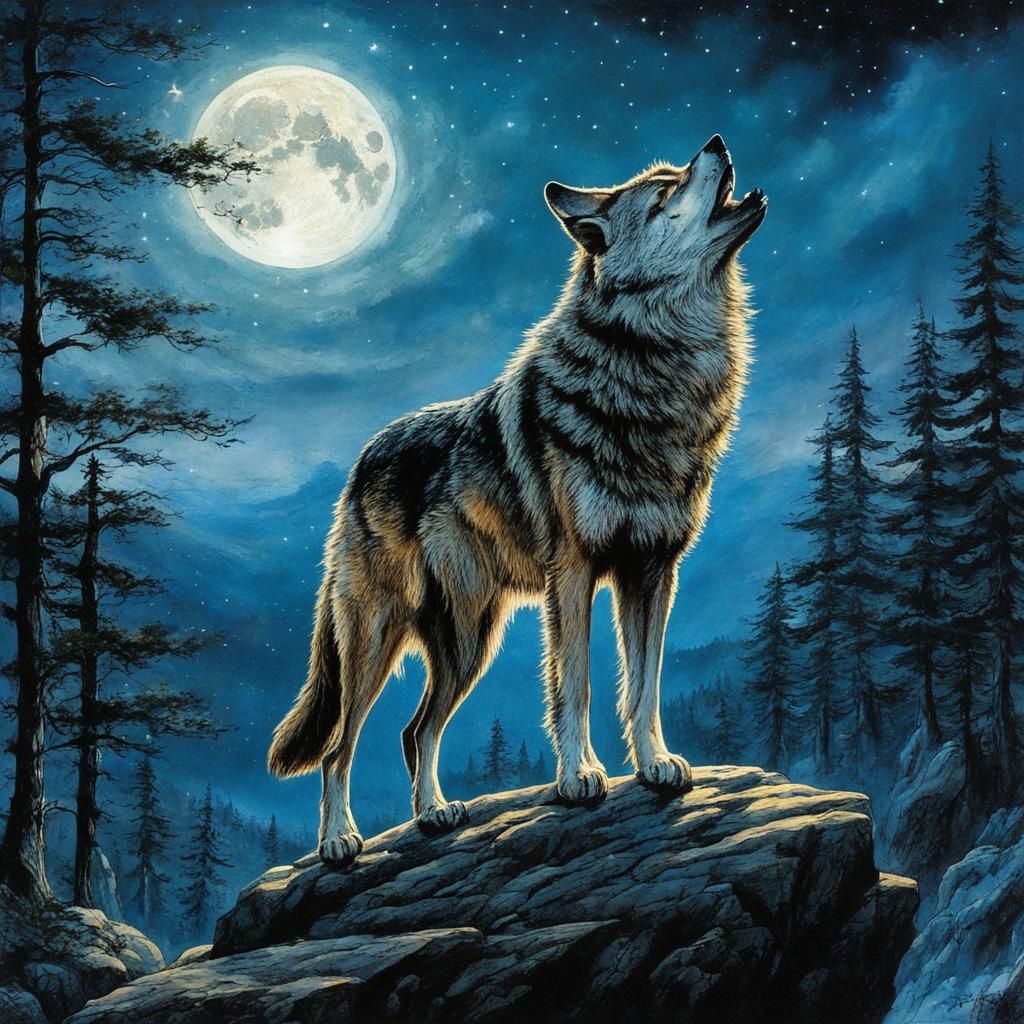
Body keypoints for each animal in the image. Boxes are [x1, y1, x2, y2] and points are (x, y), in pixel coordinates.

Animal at [268, 134, 766, 867]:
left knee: (415, 732)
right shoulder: (577, 573)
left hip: (469, 641)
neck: (654, 371)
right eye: (663, 191)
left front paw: (656, 765)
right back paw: (339, 841)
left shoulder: (652, 572)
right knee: (340, 748)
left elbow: (643, 687)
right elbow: (577, 685)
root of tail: (360, 463)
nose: (718, 142)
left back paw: (434, 814)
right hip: (378, 642)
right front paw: (578, 776)